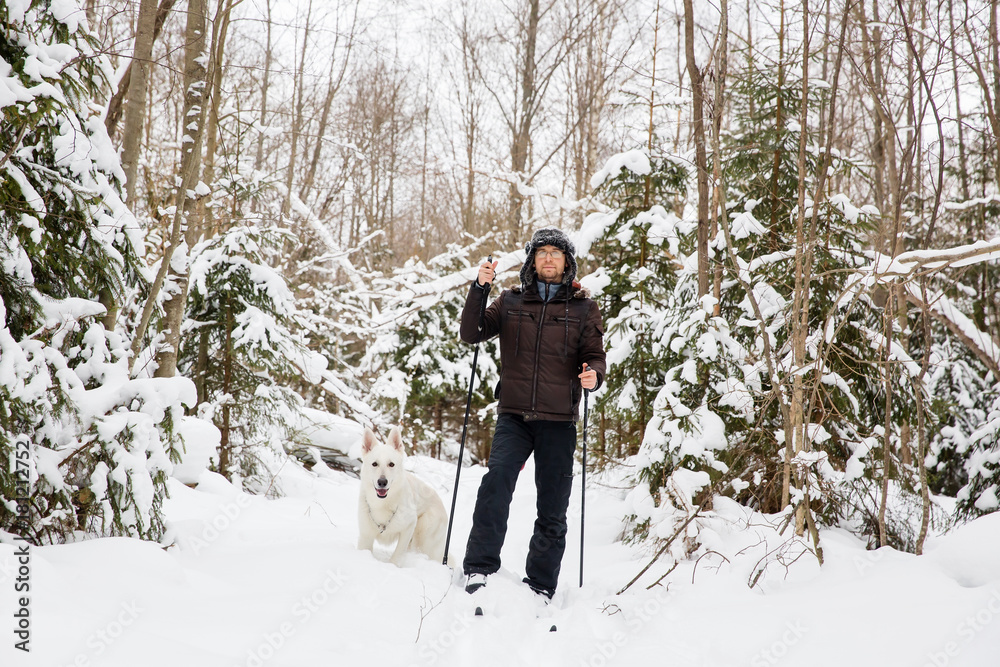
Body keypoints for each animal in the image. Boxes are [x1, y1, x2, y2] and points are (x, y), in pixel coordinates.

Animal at [358, 428, 448, 564]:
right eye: (374, 464)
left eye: (391, 464)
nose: (382, 482)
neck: (382, 504)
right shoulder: (365, 536)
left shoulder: (409, 526)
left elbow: (398, 553)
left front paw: (393, 565)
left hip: (422, 536)